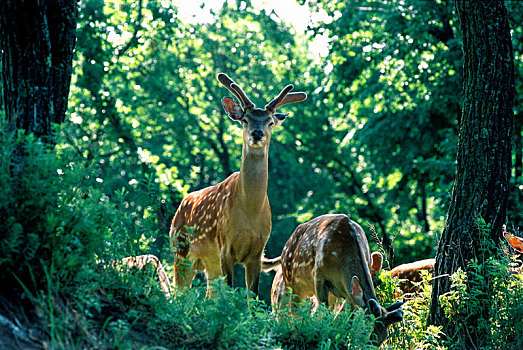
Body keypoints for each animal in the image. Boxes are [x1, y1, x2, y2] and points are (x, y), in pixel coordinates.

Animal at [168, 73, 308, 296]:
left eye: (270, 122)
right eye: (244, 120)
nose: (257, 133)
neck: (250, 214)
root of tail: (179, 208)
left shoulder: (257, 253)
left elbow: (253, 296)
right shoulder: (225, 246)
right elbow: (230, 292)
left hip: (210, 264)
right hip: (180, 251)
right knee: (179, 294)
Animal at [274, 215, 406, 346]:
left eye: (385, 336)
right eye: (365, 330)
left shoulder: (349, 294)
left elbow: (346, 318)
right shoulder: (319, 276)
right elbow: (325, 312)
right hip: (292, 281)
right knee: (295, 310)